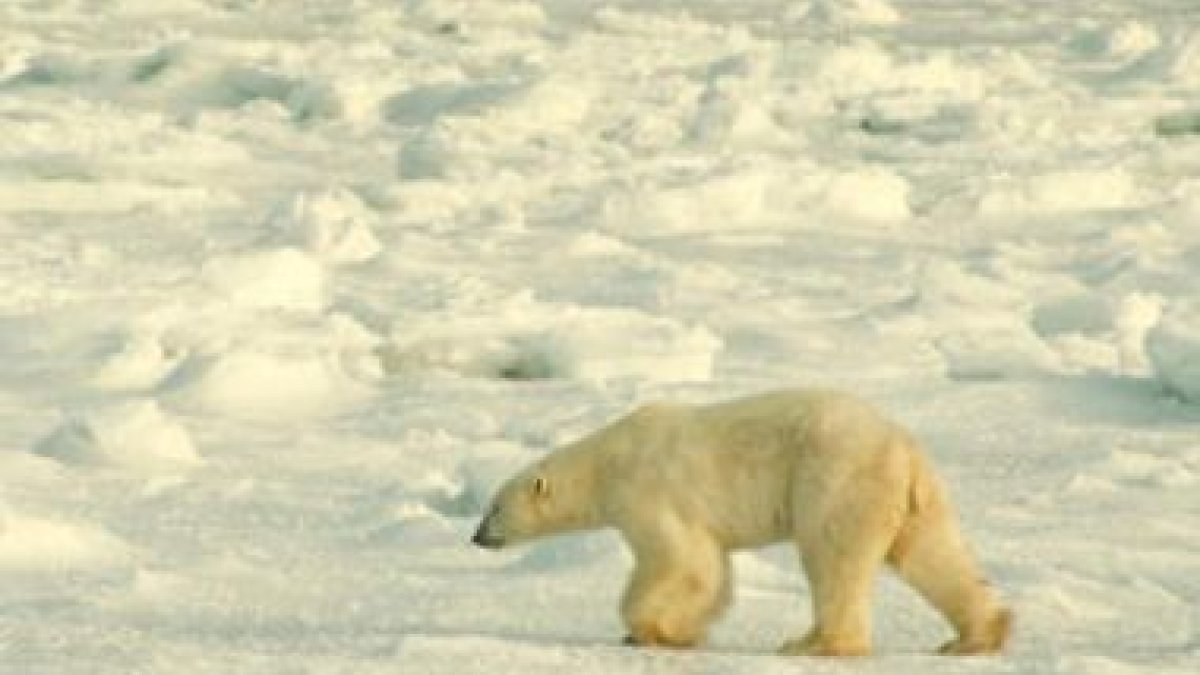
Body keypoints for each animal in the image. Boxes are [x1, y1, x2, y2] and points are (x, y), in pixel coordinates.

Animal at [472, 388, 1011, 657]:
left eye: (493, 507)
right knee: (932, 552)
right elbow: (711, 571)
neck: (606, 461)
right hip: (911, 495)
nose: (476, 536)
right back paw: (976, 637)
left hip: (836, 478)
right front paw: (683, 631)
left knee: (832, 556)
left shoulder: (649, 490)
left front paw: (649, 630)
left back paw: (814, 644)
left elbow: (679, 561)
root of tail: (902, 446)